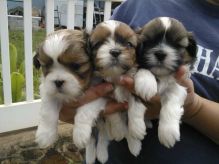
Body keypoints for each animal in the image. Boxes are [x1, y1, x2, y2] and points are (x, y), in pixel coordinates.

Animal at [135, 17, 197, 148]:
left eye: (176, 45)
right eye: (149, 42)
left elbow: (171, 102)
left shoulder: (179, 85)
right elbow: (143, 68)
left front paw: (168, 132)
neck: (161, 75)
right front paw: (146, 83)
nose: (160, 54)